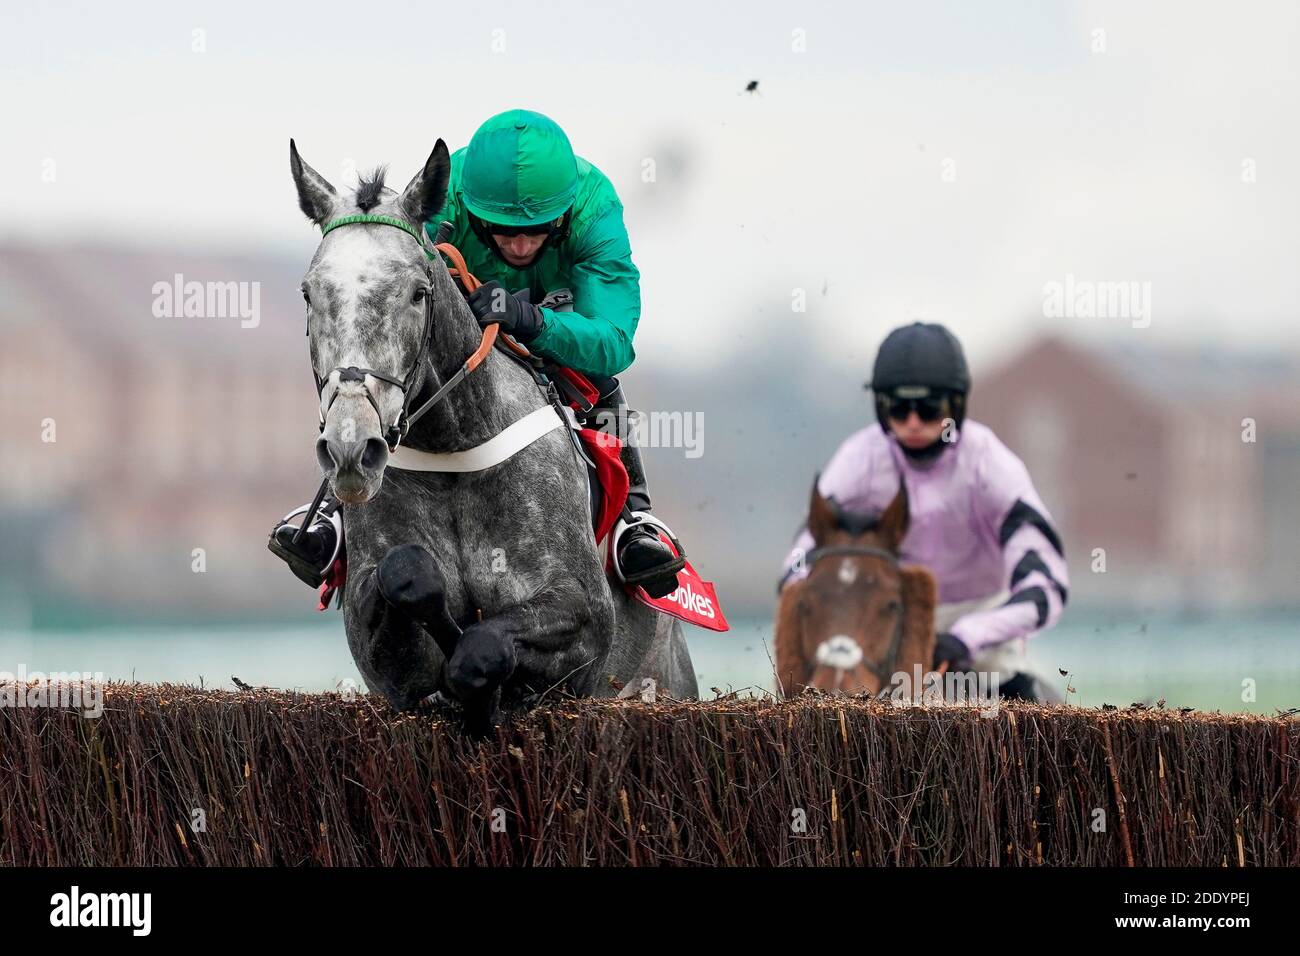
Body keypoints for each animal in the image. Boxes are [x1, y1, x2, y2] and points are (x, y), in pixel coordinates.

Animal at [292, 138, 702, 728]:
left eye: (418, 293)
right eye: (309, 293)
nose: (352, 448)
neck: (455, 446)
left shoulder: (582, 612)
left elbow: (483, 649)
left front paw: (481, 689)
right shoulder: (380, 648)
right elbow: (405, 576)